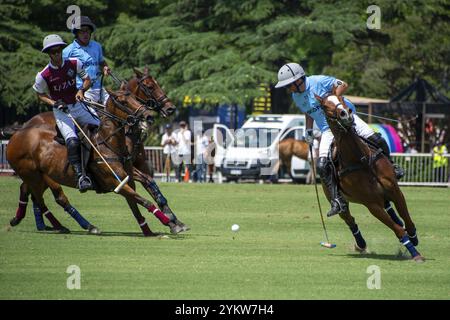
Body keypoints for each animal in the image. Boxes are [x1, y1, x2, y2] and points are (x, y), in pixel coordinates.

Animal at [314, 93, 424, 262]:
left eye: (341, 98)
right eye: (325, 106)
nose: (346, 114)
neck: (362, 159)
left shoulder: (395, 190)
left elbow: (407, 218)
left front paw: (413, 236)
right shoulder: (372, 205)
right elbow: (398, 230)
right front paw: (415, 253)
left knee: (390, 208)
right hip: (338, 200)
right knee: (350, 219)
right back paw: (360, 243)